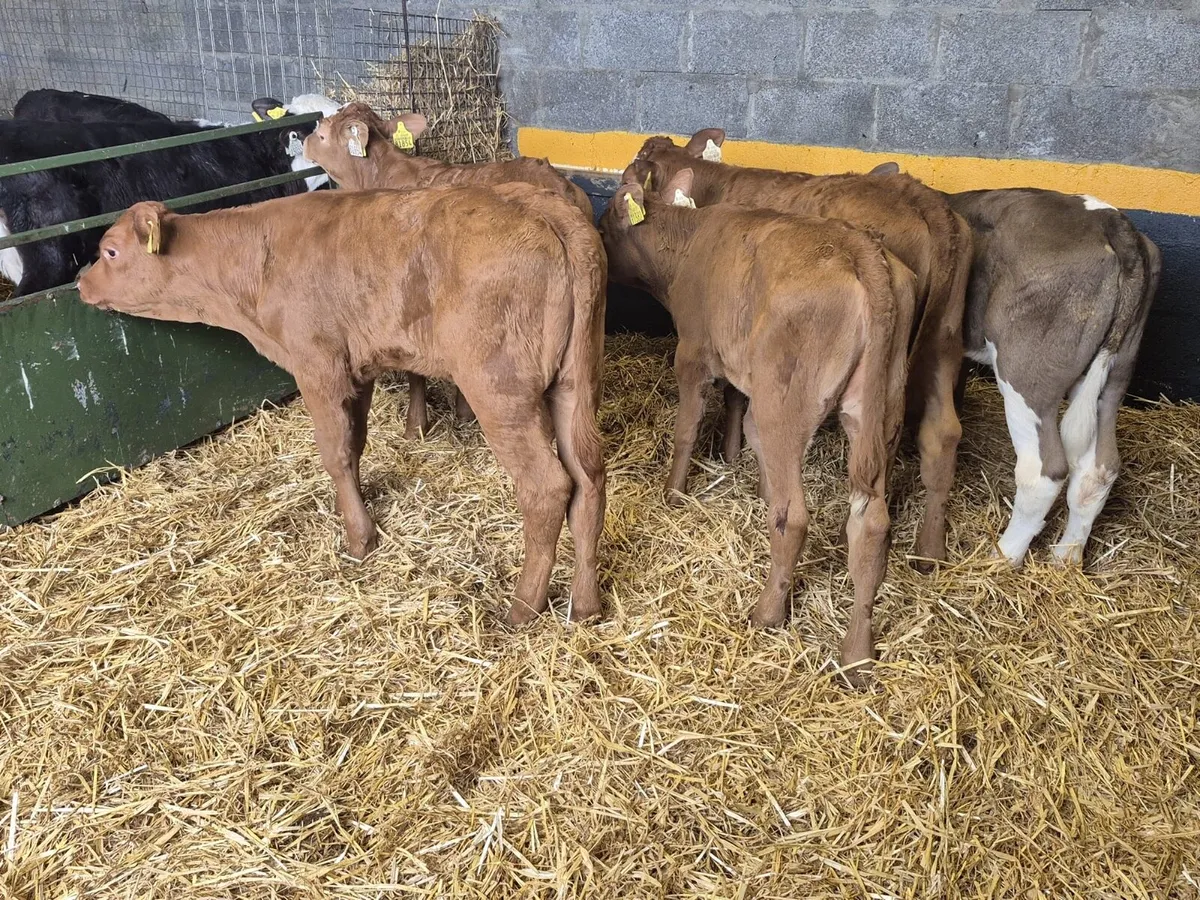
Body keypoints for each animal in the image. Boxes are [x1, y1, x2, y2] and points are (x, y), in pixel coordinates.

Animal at [75, 183, 608, 624]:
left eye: (110, 250)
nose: (80, 282)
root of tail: (546, 209)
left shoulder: (318, 365)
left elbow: (332, 452)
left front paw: (359, 539)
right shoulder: (358, 368)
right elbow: (354, 446)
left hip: (500, 388)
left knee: (546, 486)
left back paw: (522, 607)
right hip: (574, 383)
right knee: (589, 480)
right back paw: (585, 605)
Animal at [599, 167, 914, 678]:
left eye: (607, 224)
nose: (595, 238)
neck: (686, 245)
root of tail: (864, 251)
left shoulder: (693, 354)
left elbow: (687, 429)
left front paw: (673, 492)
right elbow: (739, 416)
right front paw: (743, 471)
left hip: (785, 403)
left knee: (795, 516)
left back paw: (768, 612)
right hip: (882, 408)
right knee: (870, 524)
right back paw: (857, 654)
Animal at [866, 161, 1161, 566]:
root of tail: (1112, 221)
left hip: (1026, 371)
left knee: (1045, 470)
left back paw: (1002, 556)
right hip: (1116, 372)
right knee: (1100, 467)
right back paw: (1066, 556)